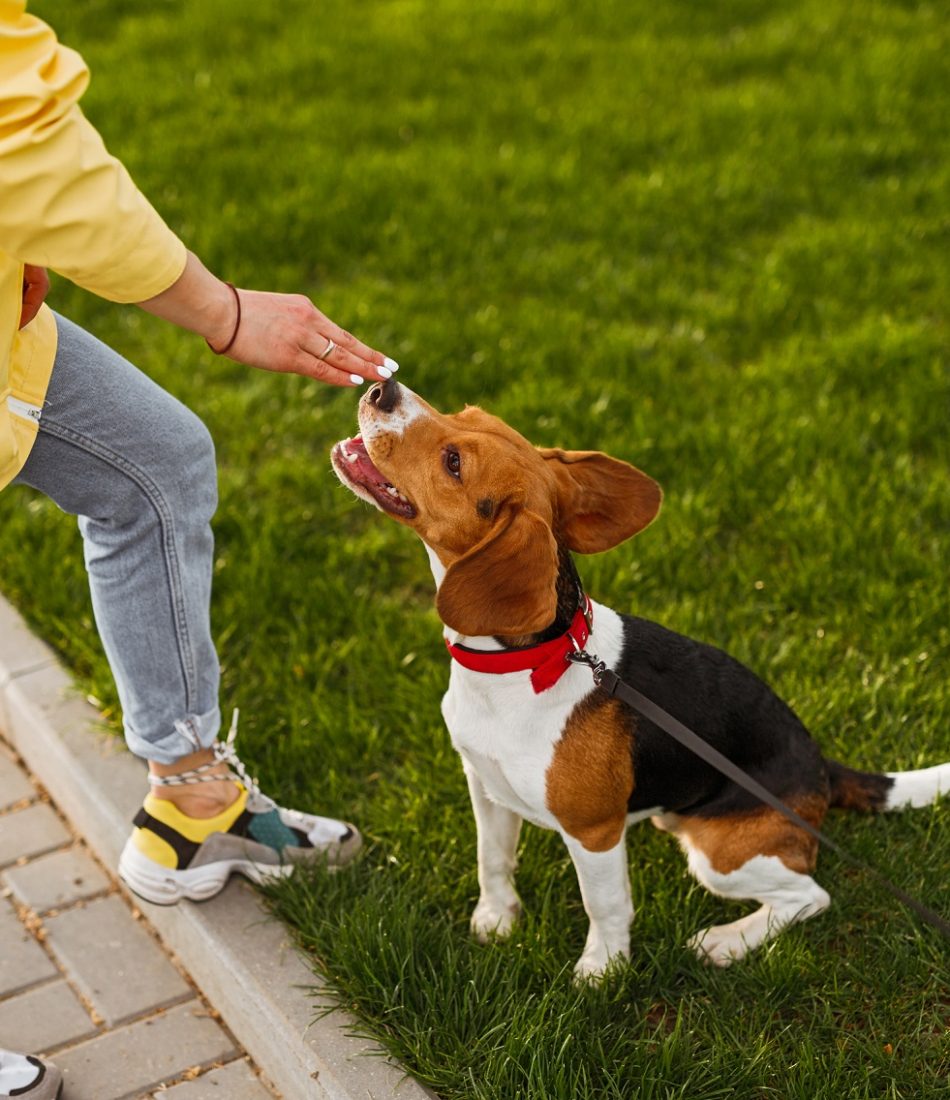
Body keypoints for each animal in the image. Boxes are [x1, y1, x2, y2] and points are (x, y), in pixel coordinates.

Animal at [329, 380, 945, 981]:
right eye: (462, 411)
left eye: (453, 462)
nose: (383, 388)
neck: (524, 667)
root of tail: (819, 766)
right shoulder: (484, 785)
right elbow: (493, 859)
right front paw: (496, 919)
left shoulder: (594, 832)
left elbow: (604, 905)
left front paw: (602, 971)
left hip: (720, 855)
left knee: (810, 896)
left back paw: (726, 942)